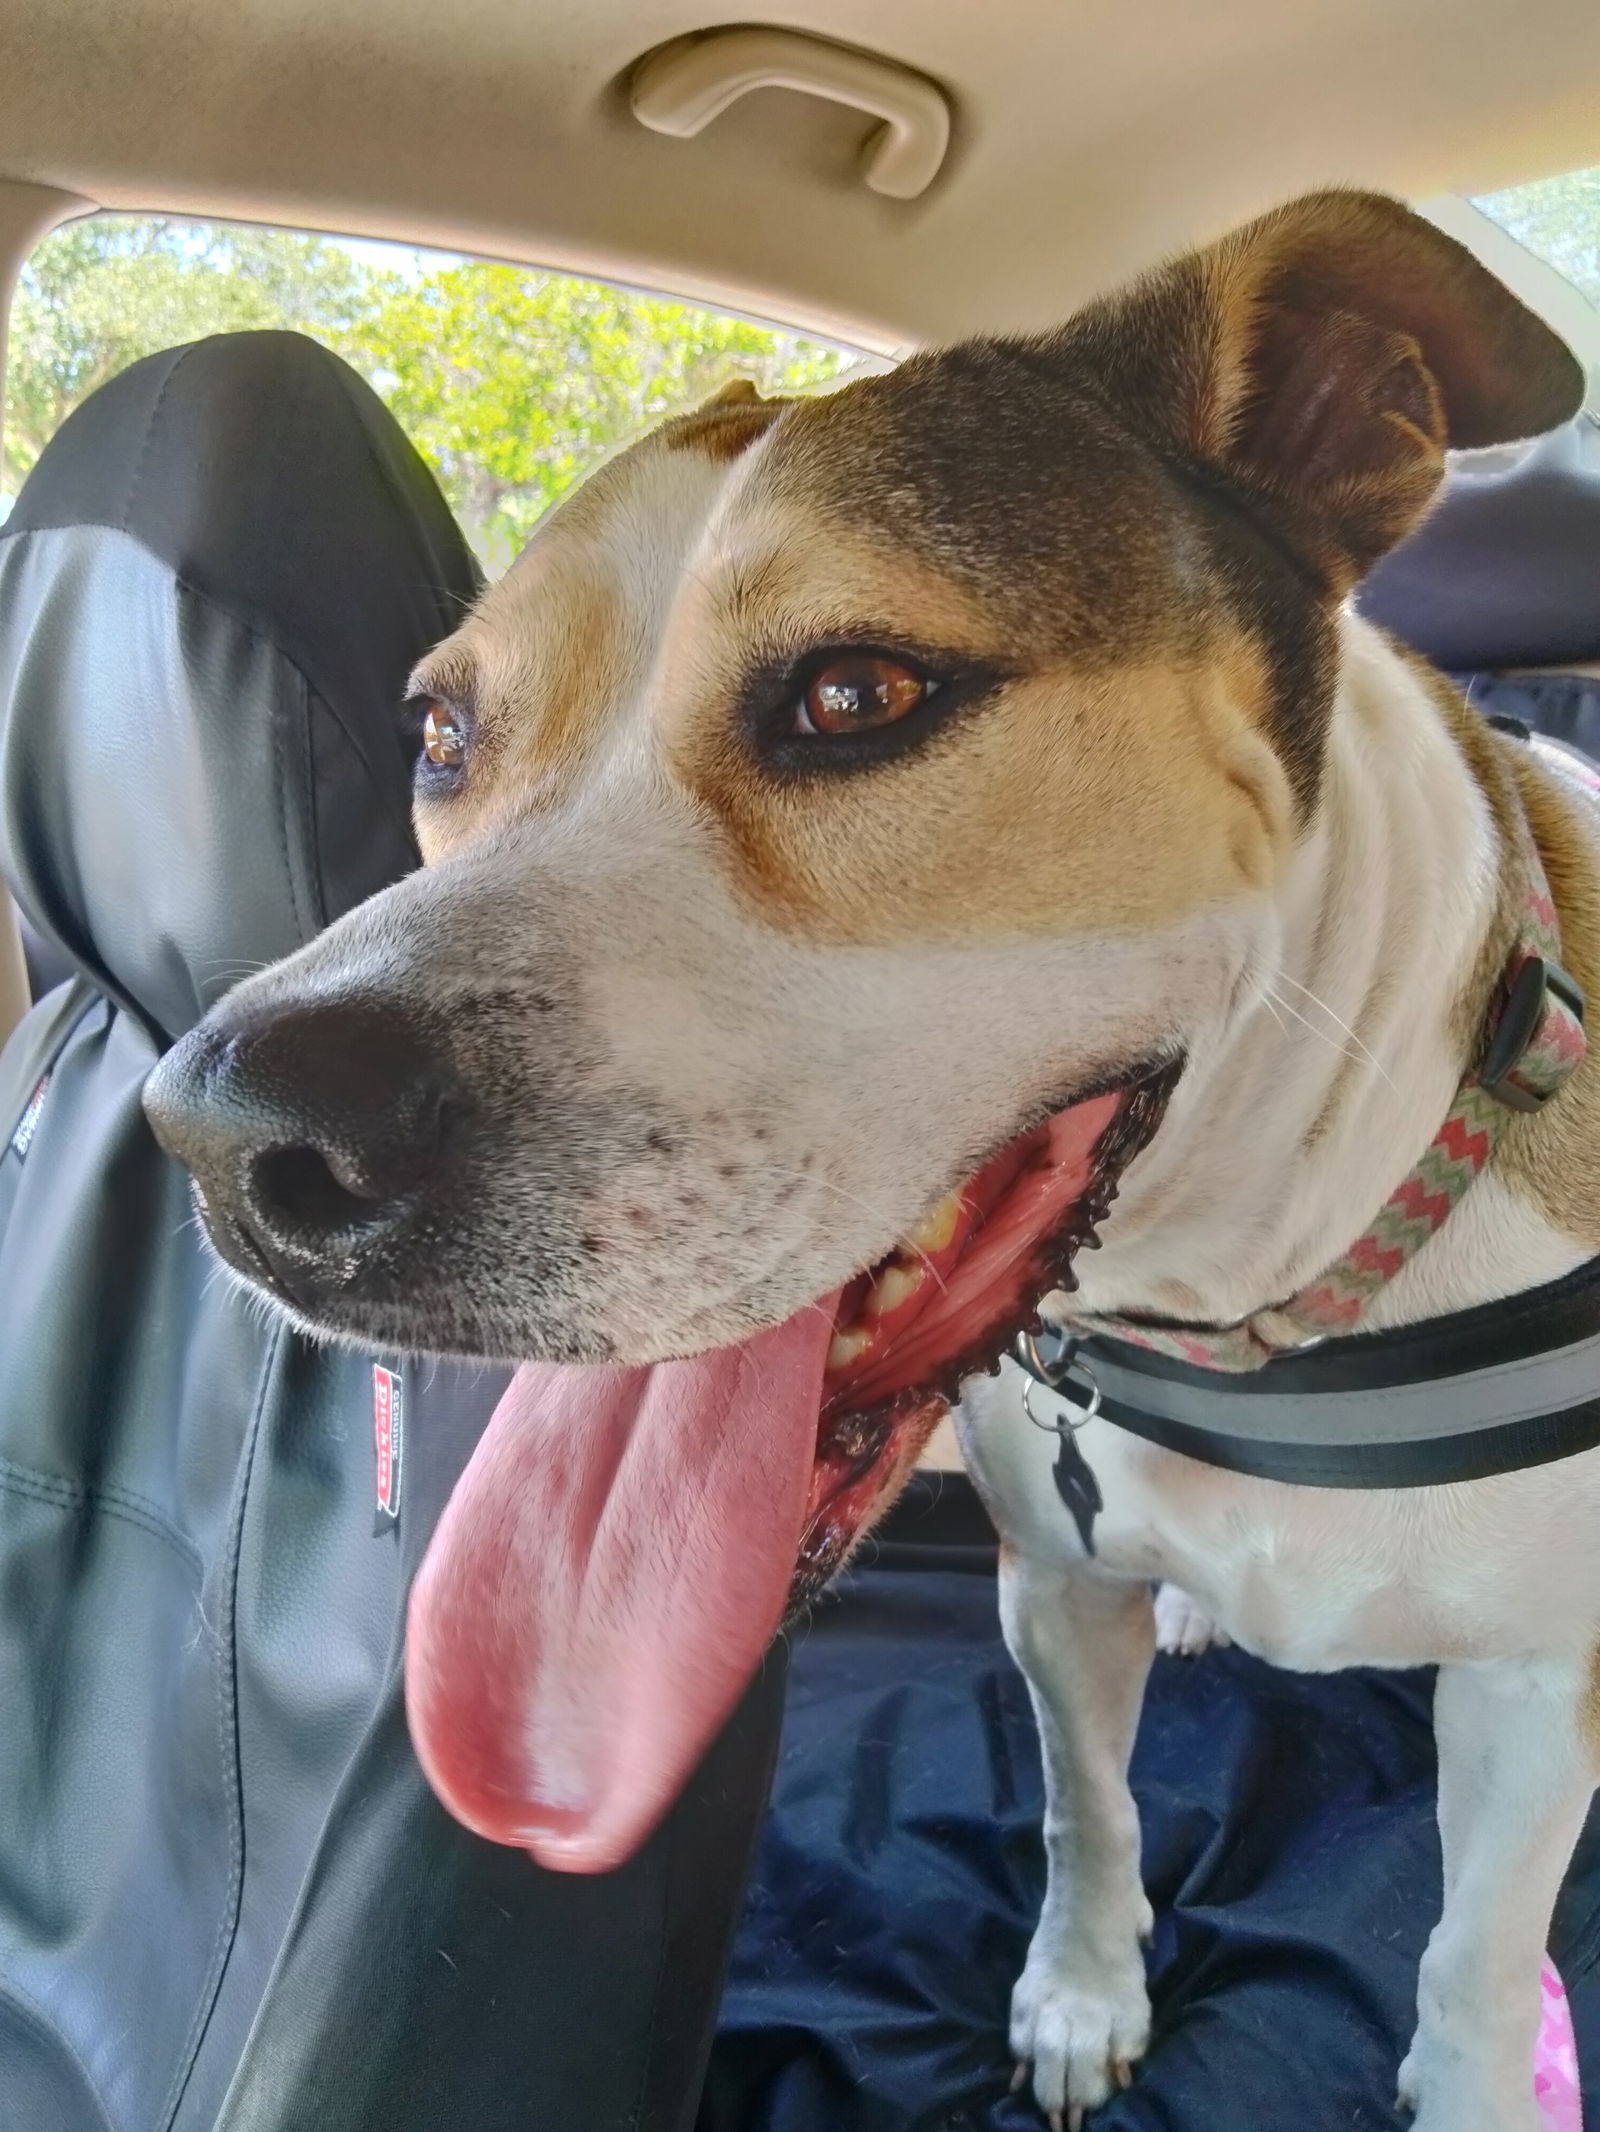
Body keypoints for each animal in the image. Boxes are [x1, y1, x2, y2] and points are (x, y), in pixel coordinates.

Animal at [144, 187, 1595, 2132]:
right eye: (444, 735)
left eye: (855, 693)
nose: (235, 1140)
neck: (1264, 1302)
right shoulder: (1053, 1582)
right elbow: (1086, 1810)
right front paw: (1082, 1993)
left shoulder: (1532, 1692)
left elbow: (1470, 1963)